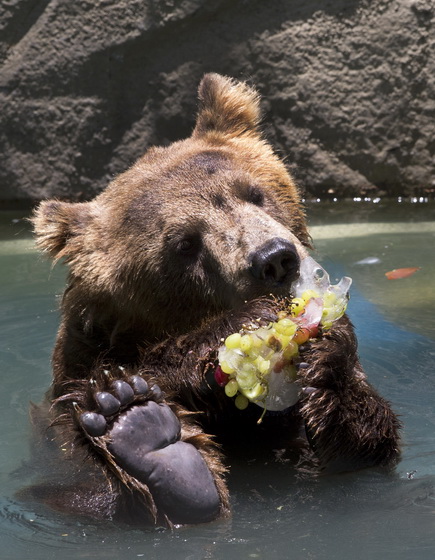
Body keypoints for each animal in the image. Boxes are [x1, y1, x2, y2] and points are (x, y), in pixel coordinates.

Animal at [29, 75, 400, 528]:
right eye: (185, 243)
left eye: (255, 193)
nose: (275, 258)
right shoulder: (73, 387)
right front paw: (245, 324)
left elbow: (366, 446)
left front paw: (329, 354)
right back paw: (138, 430)